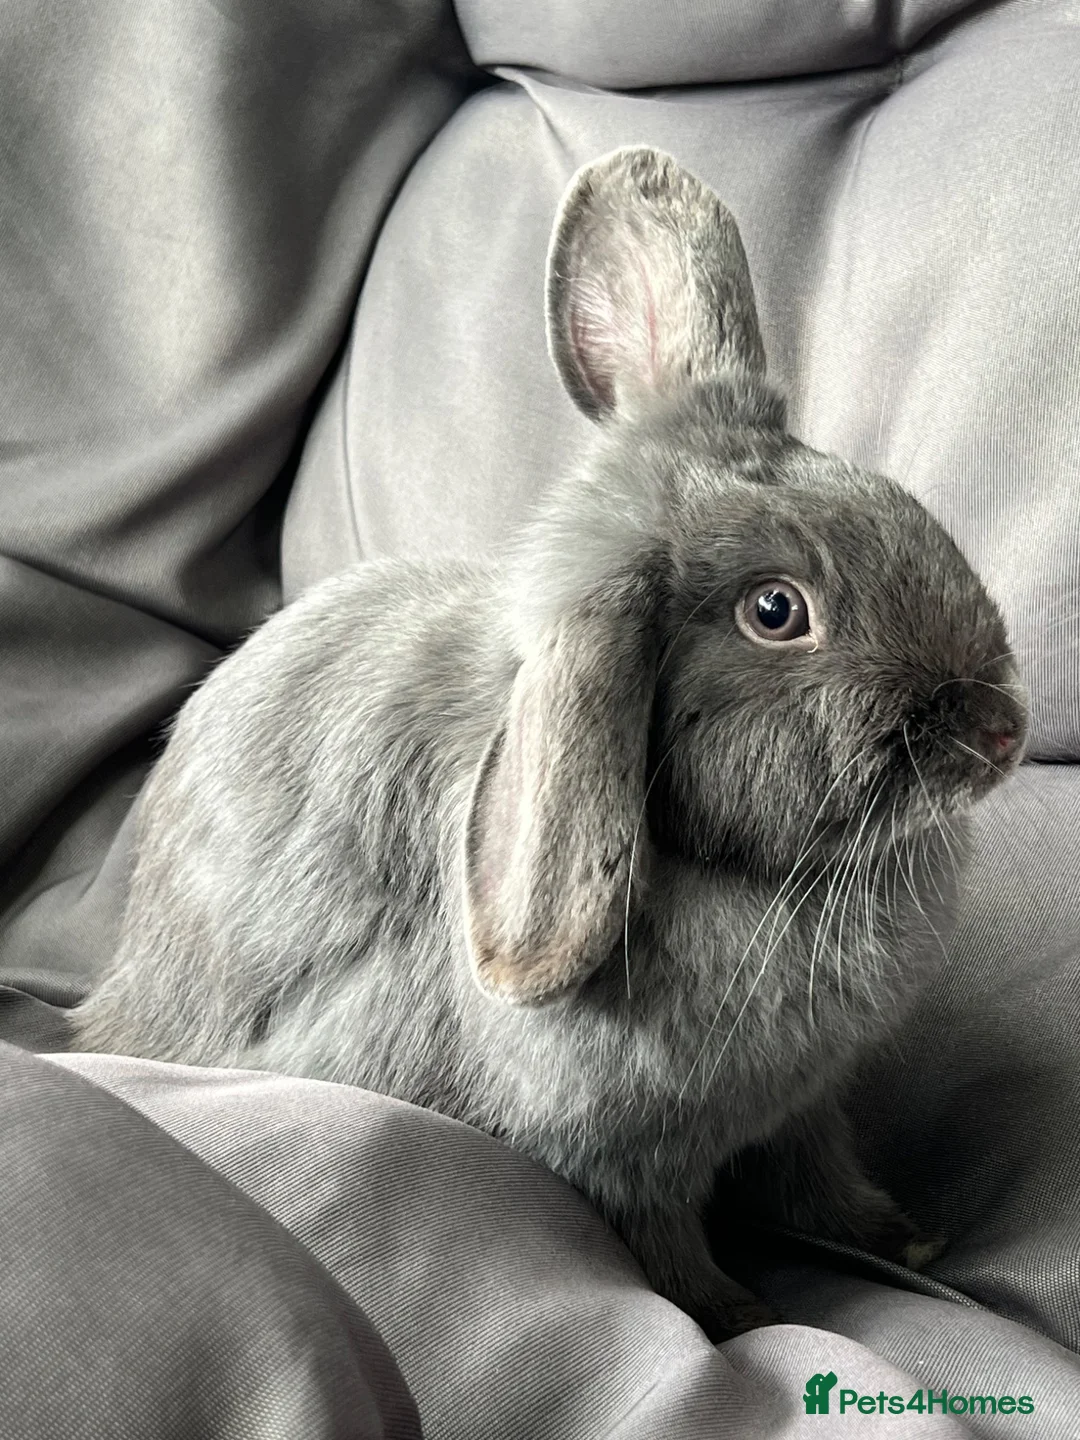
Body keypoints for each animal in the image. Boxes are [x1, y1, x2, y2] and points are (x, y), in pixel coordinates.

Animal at [72, 147, 1028, 1340]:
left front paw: (909, 1241)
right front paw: (741, 1316)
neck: (742, 875)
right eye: (776, 611)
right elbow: (666, 1253)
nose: (1003, 731)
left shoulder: (805, 1107)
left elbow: (824, 1178)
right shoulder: (629, 1160)